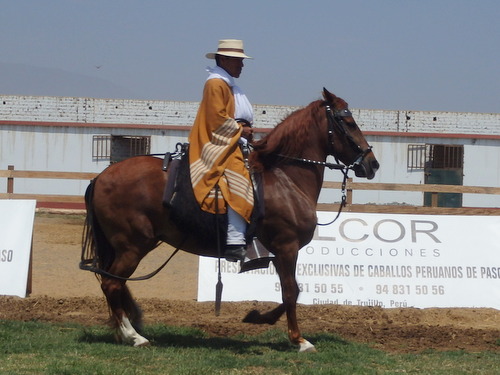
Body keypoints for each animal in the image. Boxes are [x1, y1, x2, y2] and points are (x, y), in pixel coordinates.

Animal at [82, 88, 378, 352]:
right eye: (349, 122)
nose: (372, 163)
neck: (285, 178)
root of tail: (101, 177)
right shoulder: (287, 247)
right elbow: (291, 292)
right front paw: (299, 340)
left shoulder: (279, 252)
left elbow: (292, 291)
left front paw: (259, 317)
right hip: (133, 246)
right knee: (111, 284)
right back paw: (133, 335)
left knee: (115, 284)